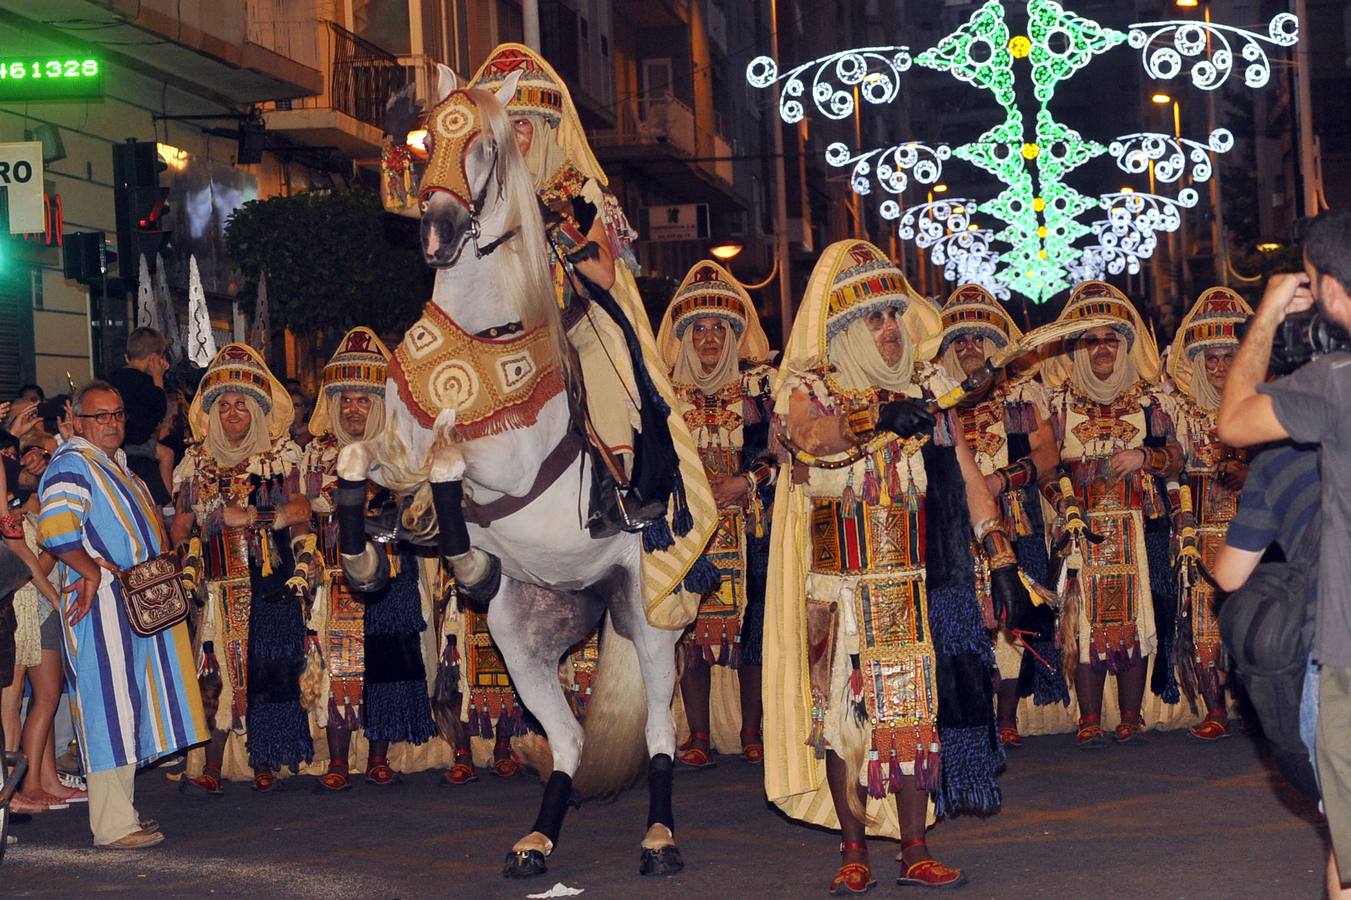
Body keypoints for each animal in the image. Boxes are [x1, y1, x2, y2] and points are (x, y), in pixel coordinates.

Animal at [328, 68, 686, 875]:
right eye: (428, 134)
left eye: (487, 146)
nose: (437, 231)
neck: (482, 332)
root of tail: (594, 592)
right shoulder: (393, 436)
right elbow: (356, 458)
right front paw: (370, 554)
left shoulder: (511, 461)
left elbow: (451, 463)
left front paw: (456, 553)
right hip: (523, 639)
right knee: (571, 736)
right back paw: (536, 840)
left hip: (645, 615)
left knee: (658, 728)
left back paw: (658, 838)